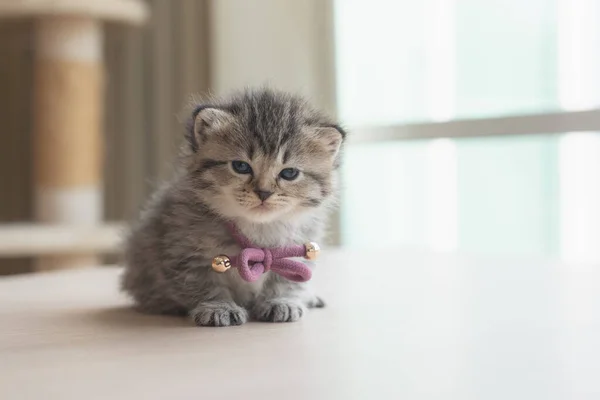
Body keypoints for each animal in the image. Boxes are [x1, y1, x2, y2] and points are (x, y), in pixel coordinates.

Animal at [121, 86, 344, 324]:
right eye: (241, 166)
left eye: (289, 173)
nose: (264, 192)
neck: (258, 230)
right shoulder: (184, 252)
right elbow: (204, 284)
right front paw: (218, 307)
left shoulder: (298, 246)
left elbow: (286, 281)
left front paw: (280, 301)